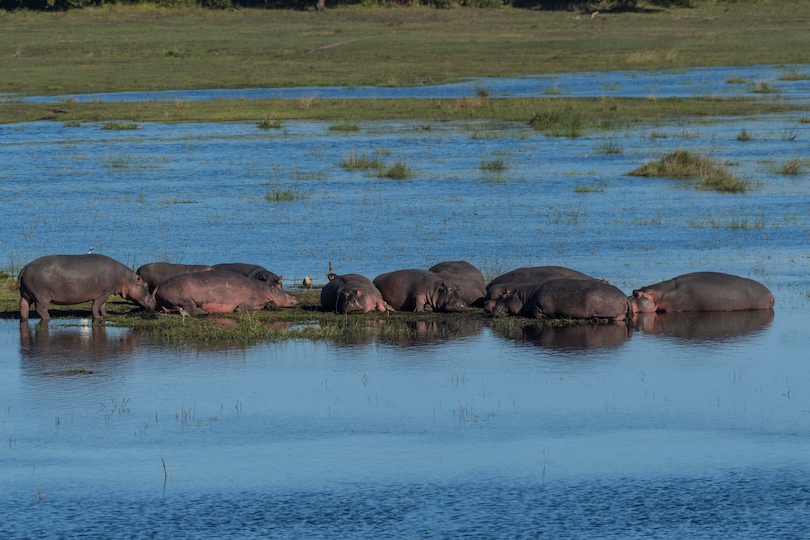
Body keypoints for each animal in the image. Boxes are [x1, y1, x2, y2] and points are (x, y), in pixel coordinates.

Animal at [18, 253, 156, 320]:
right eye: (145, 284)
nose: (154, 301)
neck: (124, 278)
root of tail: (24, 268)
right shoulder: (104, 293)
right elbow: (96, 305)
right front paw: (98, 317)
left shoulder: (106, 293)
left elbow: (103, 306)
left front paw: (106, 315)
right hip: (41, 297)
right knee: (41, 309)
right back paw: (48, 318)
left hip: (26, 295)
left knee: (23, 307)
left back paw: (24, 319)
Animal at [154, 270, 296, 316]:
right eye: (278, 287)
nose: (295, 296)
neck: (263, 289)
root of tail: (159, 285)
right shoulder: (249, 299)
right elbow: (248, 305)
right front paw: (238, 309)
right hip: (185, 298)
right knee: (191, 308)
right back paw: (205, 312)